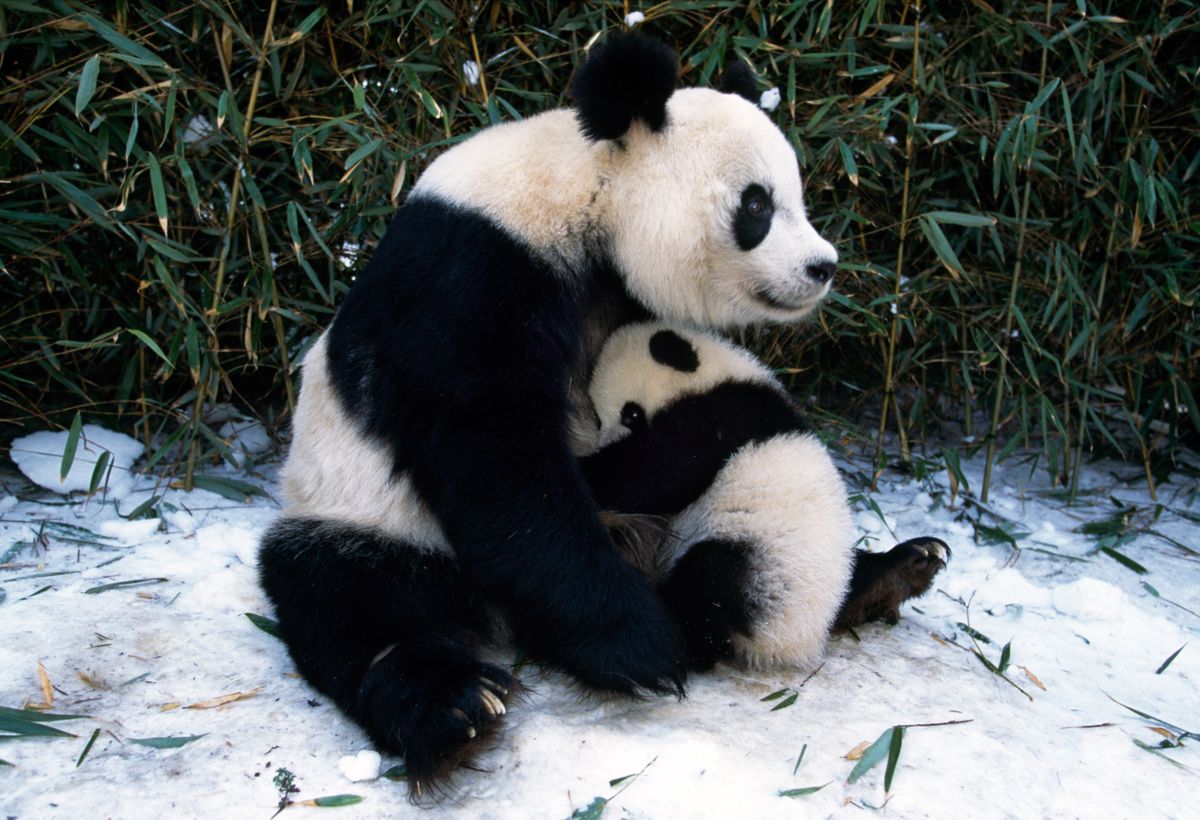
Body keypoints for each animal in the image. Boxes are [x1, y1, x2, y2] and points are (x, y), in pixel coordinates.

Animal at [260, 33, 844, 797]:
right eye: (756, 206)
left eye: (796, 197)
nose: (822, 266)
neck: (585, 188)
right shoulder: (471, 272)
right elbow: (495, 459)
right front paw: (641, 645)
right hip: (359, 512)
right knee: (346, 598)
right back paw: (456, 707)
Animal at [583, 324, 955, 672]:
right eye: (598, 418)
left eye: (630, 413)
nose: (604, 441)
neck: (721, 373)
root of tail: (795, 643)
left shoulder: (718, 417)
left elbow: (657, 471)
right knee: (858, 574)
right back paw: (906, 569)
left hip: (757, 558)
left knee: (707, 587)